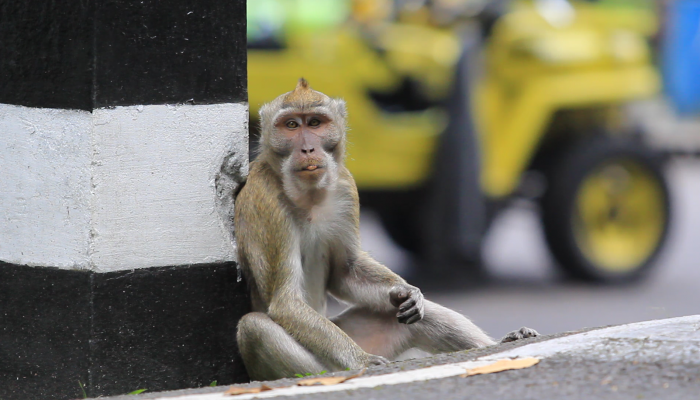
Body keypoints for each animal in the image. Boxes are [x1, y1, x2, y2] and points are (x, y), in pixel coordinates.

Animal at [234, 79, 536, 382]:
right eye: (291, 125)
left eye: (315, 123)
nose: (307, 149)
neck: (308, 196)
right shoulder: (266, 204)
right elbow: (286, 302)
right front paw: (361, 359)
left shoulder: (345, 188)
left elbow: (345, 271)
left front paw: (406, 291)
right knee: (254, 327)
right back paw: (340, 371)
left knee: (416, 318)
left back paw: (501, 342)